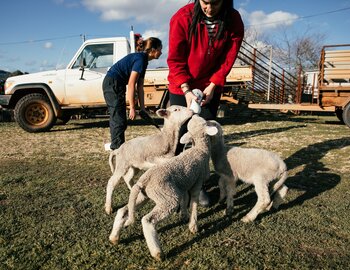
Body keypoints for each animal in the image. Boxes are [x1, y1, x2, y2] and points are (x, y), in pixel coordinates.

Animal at [109, 115, 217, 260]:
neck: (199, 149)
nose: (194, 114)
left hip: (144, 195)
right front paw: (193, 226)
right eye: (203, 121)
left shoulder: (182, 184)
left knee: (123, 210)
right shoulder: (197, 183)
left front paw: (183, 215)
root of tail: (144, 180)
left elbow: (184, 200)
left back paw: (114, 237)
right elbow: (194, 203)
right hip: (167, 197)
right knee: (147, 221)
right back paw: (157, 253)